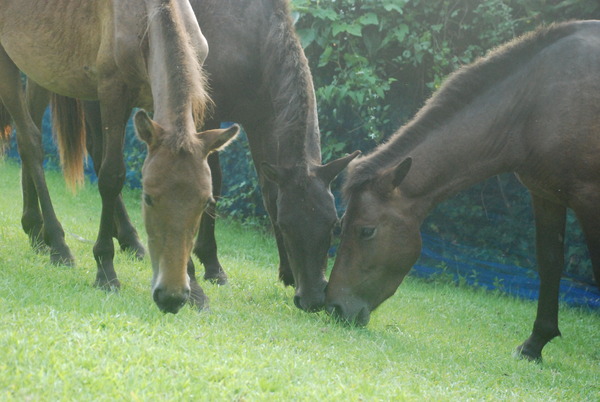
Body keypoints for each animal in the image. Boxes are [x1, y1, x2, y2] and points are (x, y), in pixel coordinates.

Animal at [0, 0, 239, 314]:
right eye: (148, 198)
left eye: (205, 202)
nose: (171, 296)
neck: (146, 17)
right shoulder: (112, 92)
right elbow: (111, 176)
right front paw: (105, 269)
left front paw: (196, 289)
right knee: (30, 142)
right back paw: (58, 244)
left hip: (40, 68)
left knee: (30, 132)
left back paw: (36, 230)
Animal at [32, 0, 358, 310]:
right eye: (286, 225)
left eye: (334, 226)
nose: (314, 298)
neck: (252, 35)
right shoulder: (208, 115)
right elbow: (217, 183)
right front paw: (212, 265)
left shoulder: (260, 120)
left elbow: (268, 191)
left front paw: (286, 272)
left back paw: (126, 239)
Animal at [326, 20, 600, 362]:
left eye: (366, 231)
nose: (334, 307)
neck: (535, 102)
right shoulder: (546, 196)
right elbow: (550, 264)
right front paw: (534, 345)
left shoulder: (589, 200)